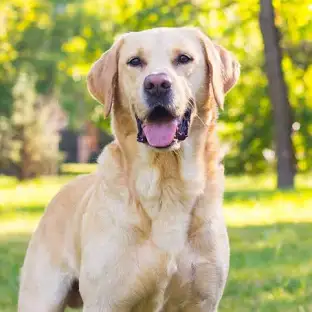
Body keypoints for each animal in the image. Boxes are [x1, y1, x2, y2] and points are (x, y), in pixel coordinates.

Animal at [18, 27, 240, 312]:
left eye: (184, 58)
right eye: (135, 61)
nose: (157, 84)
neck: (167, 184)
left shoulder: (202, 301)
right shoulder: (105, 301)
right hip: (41, 296)